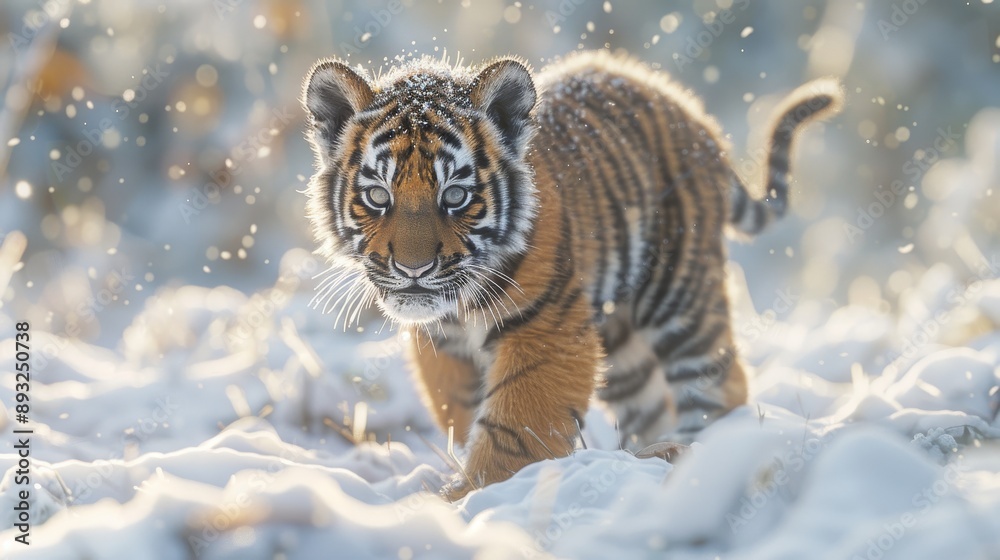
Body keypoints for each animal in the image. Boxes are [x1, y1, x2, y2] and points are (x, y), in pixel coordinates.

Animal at [301, 50, 842, 500]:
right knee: (651, 402)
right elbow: (465, 413)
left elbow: (513, 430)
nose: (413, 269)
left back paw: (706, 458)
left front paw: (472, 500)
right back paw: (649, 456)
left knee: (717, 384)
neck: (456, 312)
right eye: (378, 196)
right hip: (622, 344)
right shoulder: (443, 347)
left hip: (678, 293)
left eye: (455, 196)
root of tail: (687, 108)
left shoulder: (548, 331)